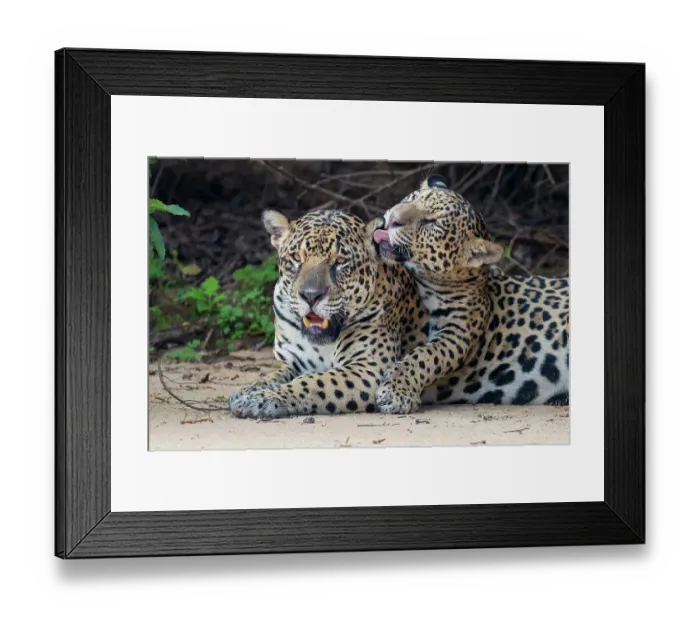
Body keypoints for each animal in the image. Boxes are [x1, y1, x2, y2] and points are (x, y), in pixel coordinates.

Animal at [228, 207, 430, 419]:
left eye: (340, 261)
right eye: (297, 258)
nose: (310, 295)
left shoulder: (369, 368)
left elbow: (313, 382)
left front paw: (264, 397)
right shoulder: (292, 361)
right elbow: (271, 376)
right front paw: (248, 391)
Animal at [371, 174, 569, 415]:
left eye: (431, 223)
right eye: (413, 198)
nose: (392, 219)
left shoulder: (458, 334)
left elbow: (424, 357)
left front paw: (396, 391)